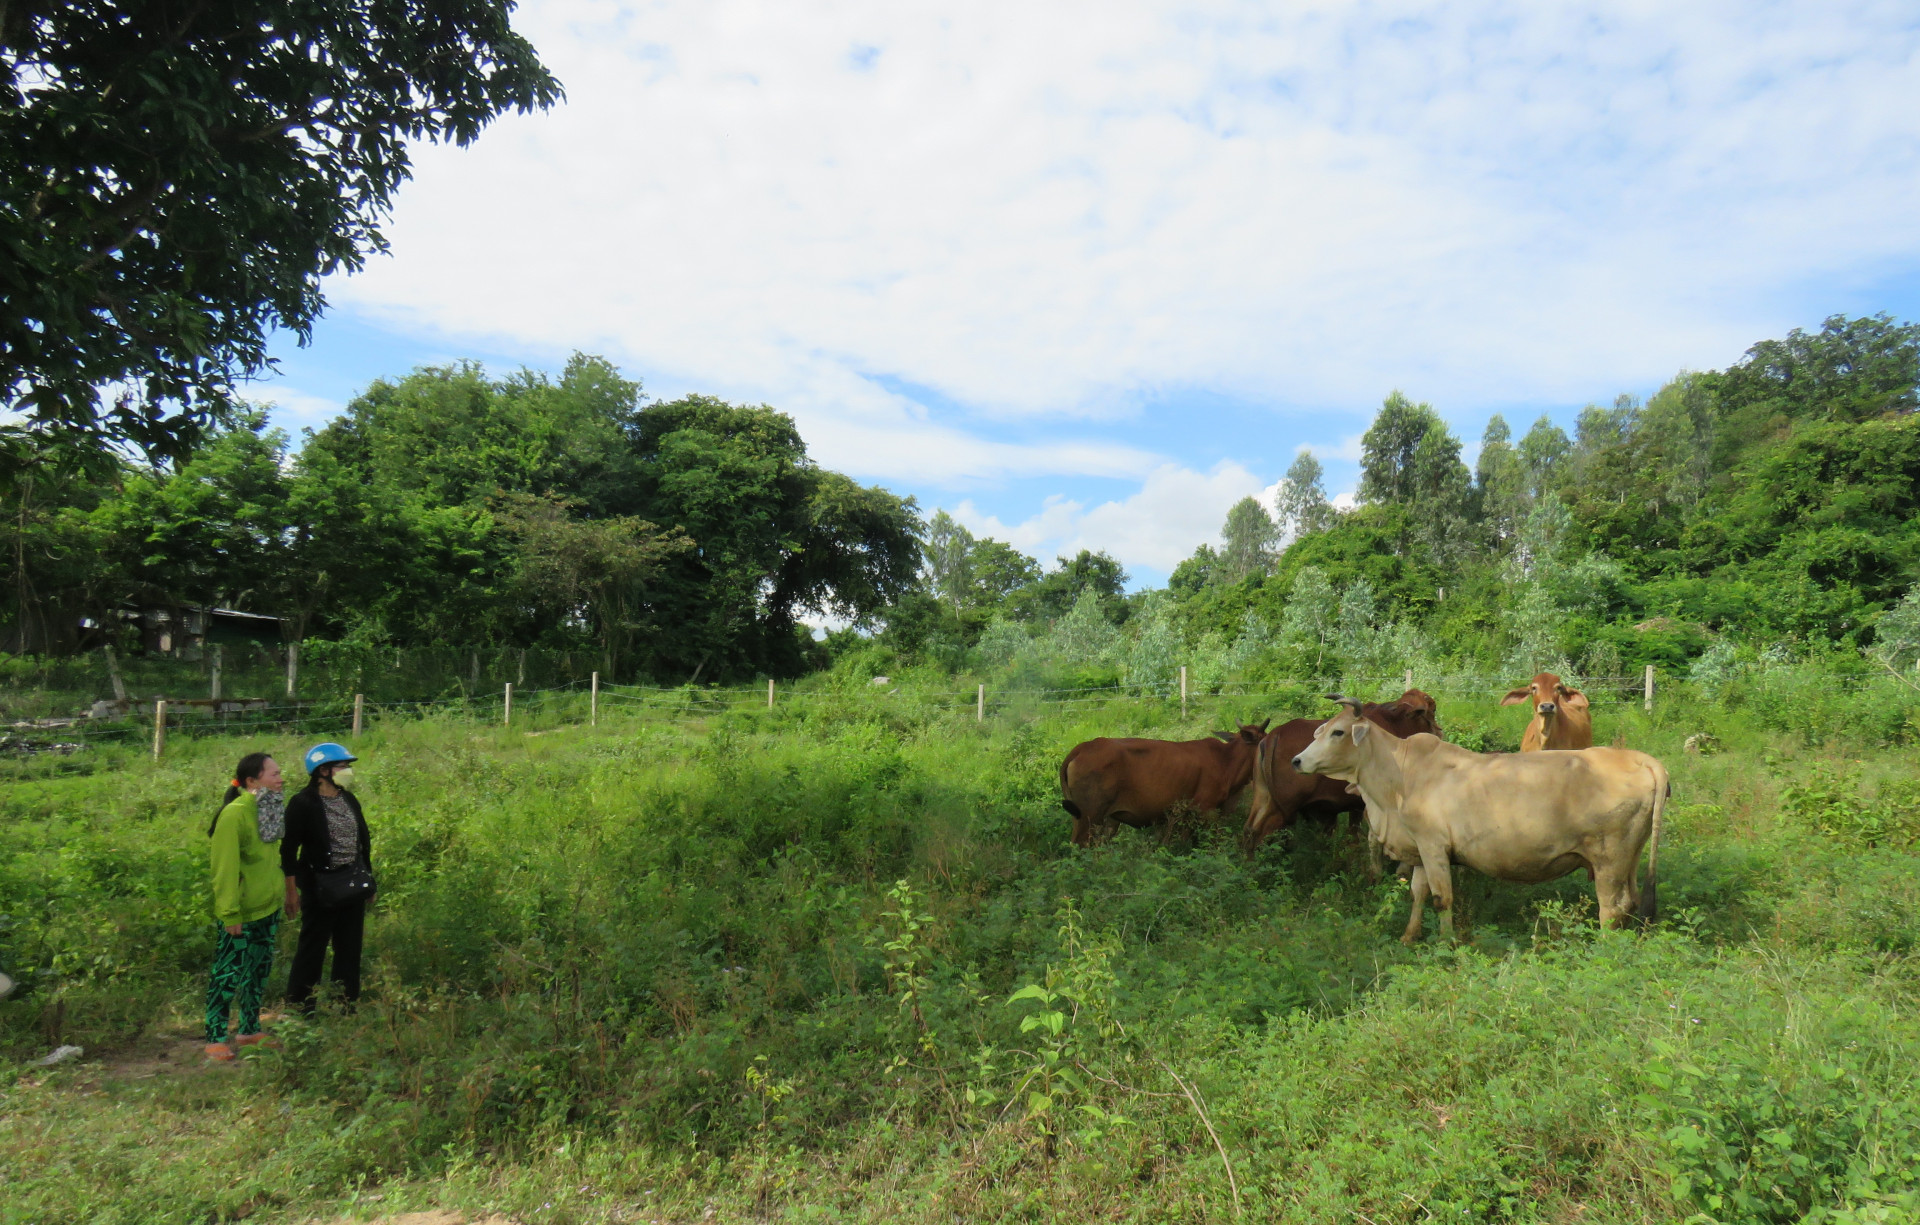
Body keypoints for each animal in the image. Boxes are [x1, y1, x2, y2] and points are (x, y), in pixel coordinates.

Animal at [1244, 687, 1443, 860]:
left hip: (1263, 798)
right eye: (1432, 709)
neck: (1394, 723)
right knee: (1260, 835)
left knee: (1249, 831)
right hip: (1283, 809)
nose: (1439, 732)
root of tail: (1274, 735)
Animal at [1290, 695, 1666, 944]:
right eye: (1318, 731)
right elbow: (1418, 893)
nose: (1296, 761)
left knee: (1612, 909)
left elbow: (1441, 898)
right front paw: (1409, 937)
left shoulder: (1434, 846)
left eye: (1338, 732)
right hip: (1628, 859)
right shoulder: (1421, 849)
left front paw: (1446, 944)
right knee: (1629, 903)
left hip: (1608, 859)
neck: (1399, 778)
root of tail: (1640, 759)